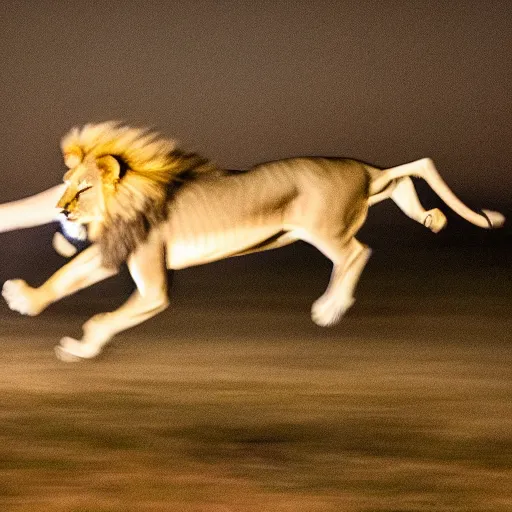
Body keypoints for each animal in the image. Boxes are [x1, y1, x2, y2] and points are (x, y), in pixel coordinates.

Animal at [0, 121, 504, 360]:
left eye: (83, 188)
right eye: (66, 185)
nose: (62, 209)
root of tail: (361, 170)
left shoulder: (150, 279)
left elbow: (105, 317)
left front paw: (81, 347)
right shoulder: (114, 252)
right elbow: (66, 277)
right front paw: (26, 299)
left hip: (324, 227)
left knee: (356, 252)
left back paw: (330, 308)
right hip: (366, 196)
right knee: (401, 179)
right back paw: (431, 218)